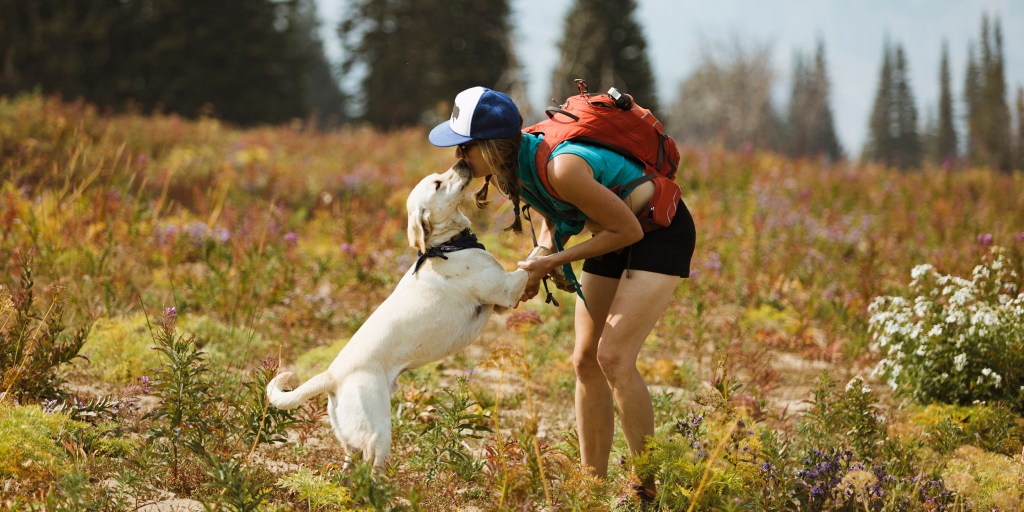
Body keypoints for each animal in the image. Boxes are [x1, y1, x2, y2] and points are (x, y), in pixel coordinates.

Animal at [264, 161, 528, 466]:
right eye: (438, 184)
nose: (462, 163)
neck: (445, 246)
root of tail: (331, 375)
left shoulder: (500, 304)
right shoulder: (508, 290)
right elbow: (536, 258)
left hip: (351, 440)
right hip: (379, 436)